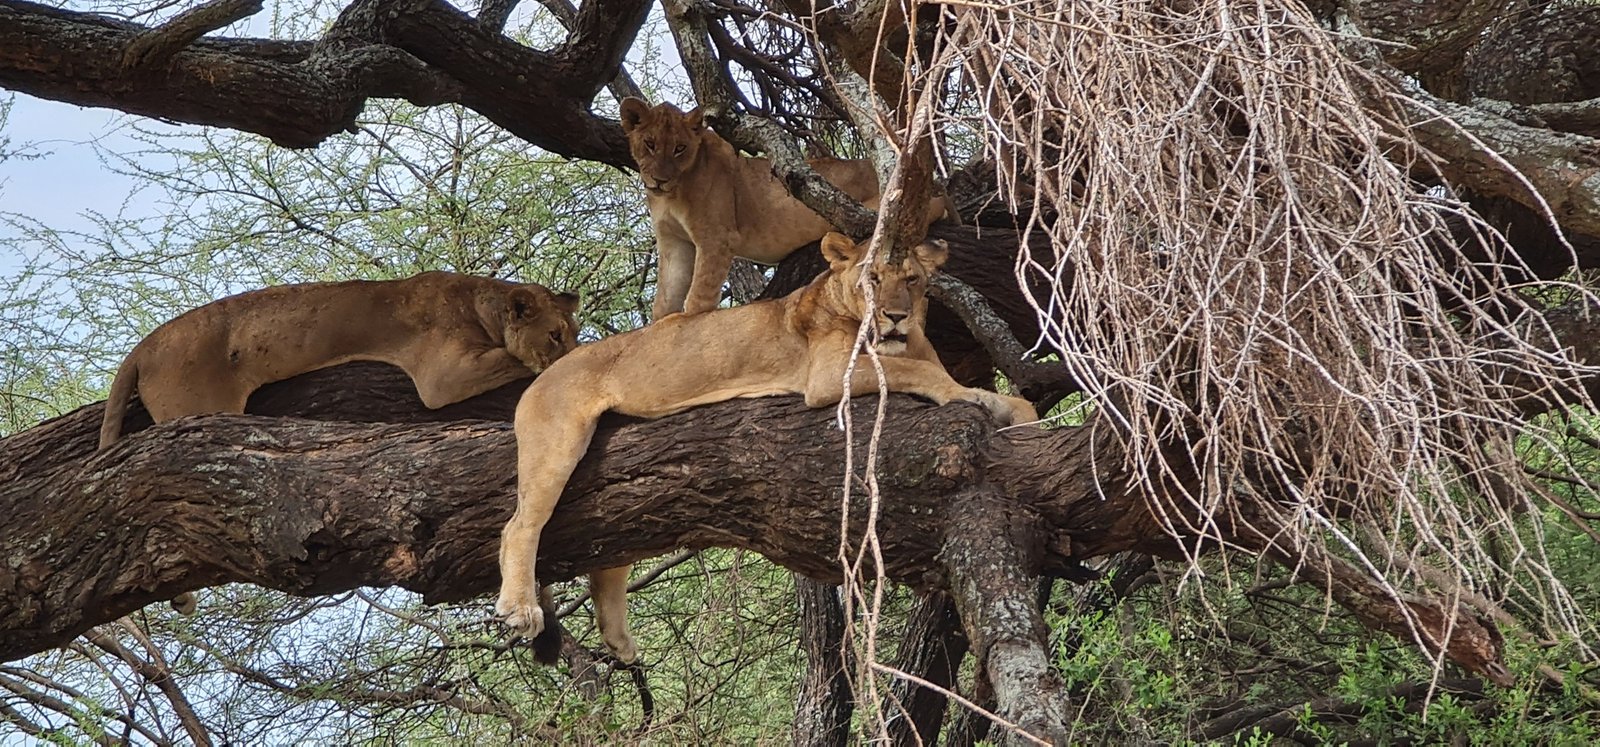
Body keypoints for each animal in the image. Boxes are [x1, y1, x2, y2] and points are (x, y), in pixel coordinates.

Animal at [99, 271, 580, 615]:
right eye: (555, 334)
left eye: (569, 331)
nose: (569, 348)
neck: (480, 302)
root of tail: (142, 347)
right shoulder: (442, 376)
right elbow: (514, 361)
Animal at [495, 232, 1036, 663]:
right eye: (872, 279)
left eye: (914, 280)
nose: (896, 317)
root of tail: (541, 375)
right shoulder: (828, 377)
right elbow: (920, 372)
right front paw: (970, 396)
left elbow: (1006, 396)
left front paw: (1019, 416)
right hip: (557, 442)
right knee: (519, 526)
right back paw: (521, 608)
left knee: (609, 549)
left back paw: (618, 639)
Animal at [619, 97, 958, 320]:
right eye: (649, 144)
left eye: (680, 148)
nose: (660, 179)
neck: (671, 194)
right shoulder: (673, 241)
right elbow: (665, 300)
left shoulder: (716, 239)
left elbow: (697, 299)